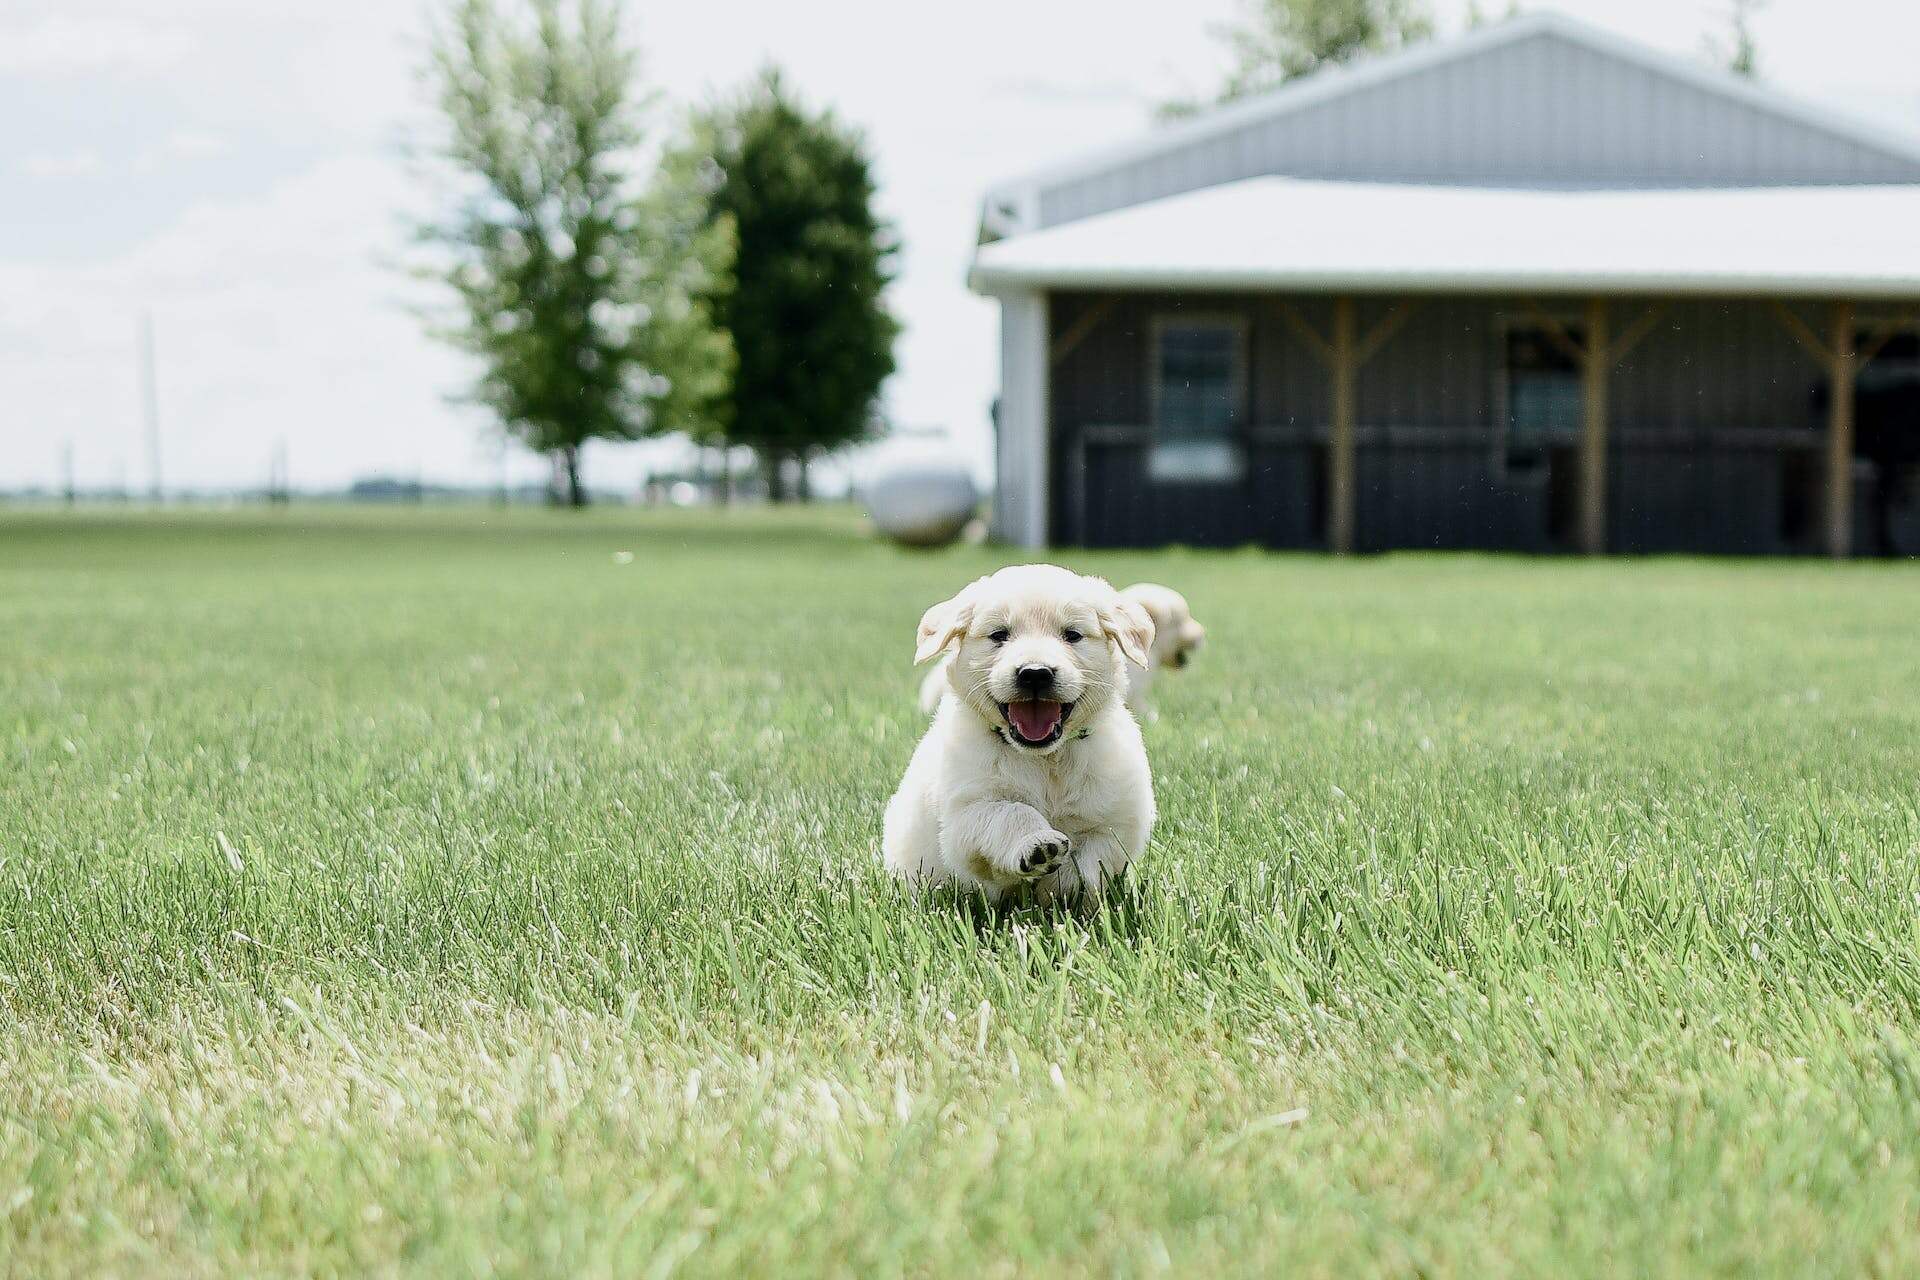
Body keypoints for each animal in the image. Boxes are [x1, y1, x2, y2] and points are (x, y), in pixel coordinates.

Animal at [879, 564, 1152, 905]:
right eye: (999, 635)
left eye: (1072, 635)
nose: (1035, 673)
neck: (1046, 759)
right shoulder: (965, 814)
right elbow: (1010, 812)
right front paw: (1038, 845)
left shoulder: (1120, 819)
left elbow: (1093, 858)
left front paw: (1060, 887)